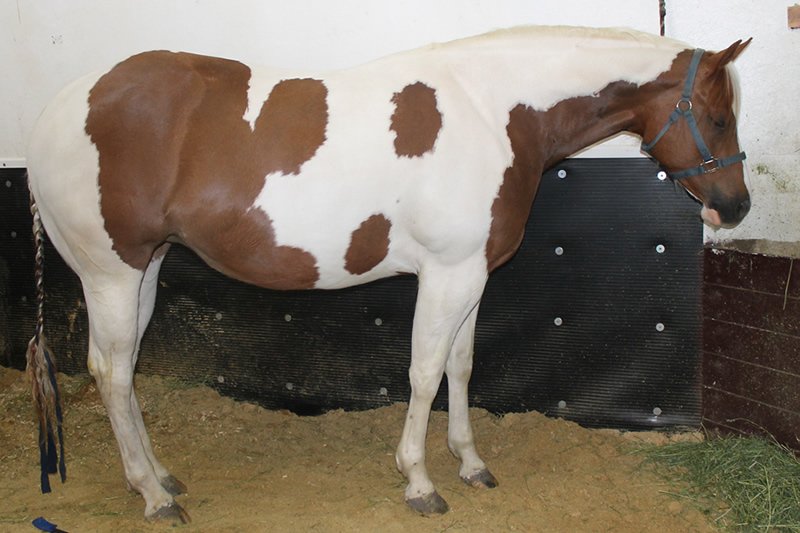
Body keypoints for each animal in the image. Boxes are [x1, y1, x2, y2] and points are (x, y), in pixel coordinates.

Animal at [24, 26, 751, 521]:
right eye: (718, 116)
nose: (736, 206)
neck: (493, 112)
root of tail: (56, 110)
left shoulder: (471, 275)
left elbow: (460, 366)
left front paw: (470, 462)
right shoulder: (447, 274)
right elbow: (424, 374)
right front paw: (419, 481)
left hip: (144, 268)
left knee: (122, 370)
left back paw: (161, 476)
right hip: (111, 272)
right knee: (111, 372)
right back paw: (151, 495)